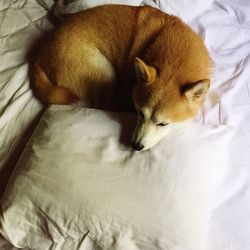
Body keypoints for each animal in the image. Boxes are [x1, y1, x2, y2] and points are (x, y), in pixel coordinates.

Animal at [30, 4, 211, 151]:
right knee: (102, 104)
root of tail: (40, 56)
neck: (176, 61)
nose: (136, 146)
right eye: (140, 113)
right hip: (105, 70)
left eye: (163, 124)